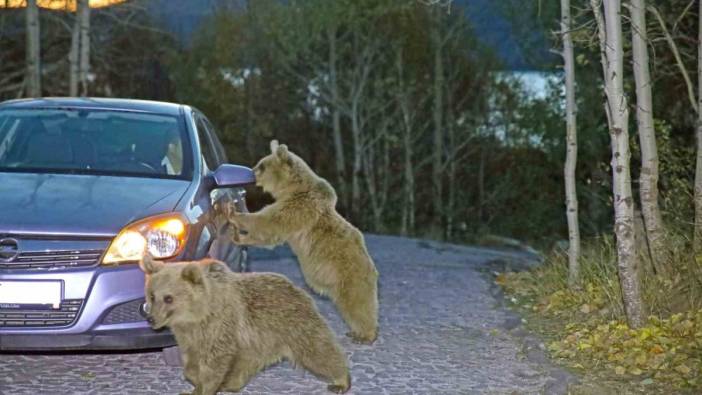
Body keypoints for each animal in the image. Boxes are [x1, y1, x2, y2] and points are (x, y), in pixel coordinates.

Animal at [140, 255, 352, 394]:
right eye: (152, 295)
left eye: (168, 298)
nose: (151, 318)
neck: (197, 315)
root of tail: (298, 288)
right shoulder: (189, 336)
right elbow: (191, 362)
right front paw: (194, 382)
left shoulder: (220, 325)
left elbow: (215, 361)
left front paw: (204, 387)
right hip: (256, 341)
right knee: (245, 363)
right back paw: (231, 383)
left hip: (293, 324)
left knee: (318, 351)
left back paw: (341, 380)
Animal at [230, 141, 380, 344]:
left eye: (261, 165)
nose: (250, 173)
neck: (291, 189)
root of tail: (372, 269)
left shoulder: (298, 208)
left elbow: (269, 223)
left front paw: (234, 217)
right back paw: (355, 332)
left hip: (350, 275)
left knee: (357, 304)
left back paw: (365, 334)